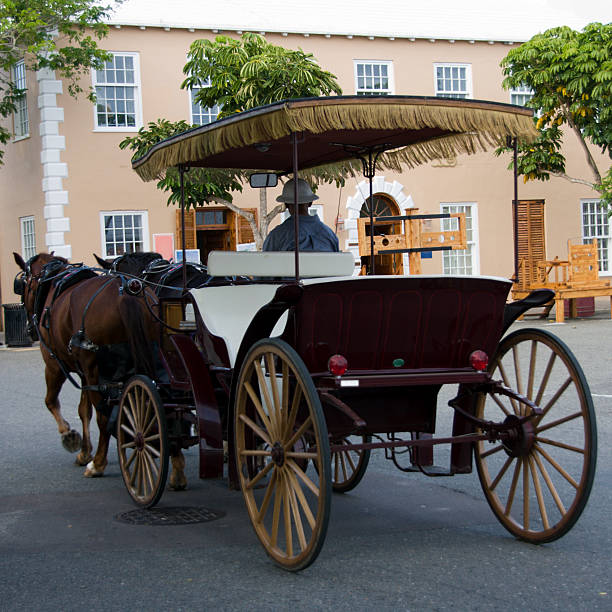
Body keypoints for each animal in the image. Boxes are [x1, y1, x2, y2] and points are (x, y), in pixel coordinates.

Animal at [14, 252, 160, 478]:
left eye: (23, 285)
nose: (30, 329)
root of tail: (128, 292)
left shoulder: (54, 365)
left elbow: (51, 401)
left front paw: (69, 435)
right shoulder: (84, 373)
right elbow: (84, 410)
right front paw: (84, 452)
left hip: (94, 372)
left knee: (103, 415)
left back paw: (98, 463)